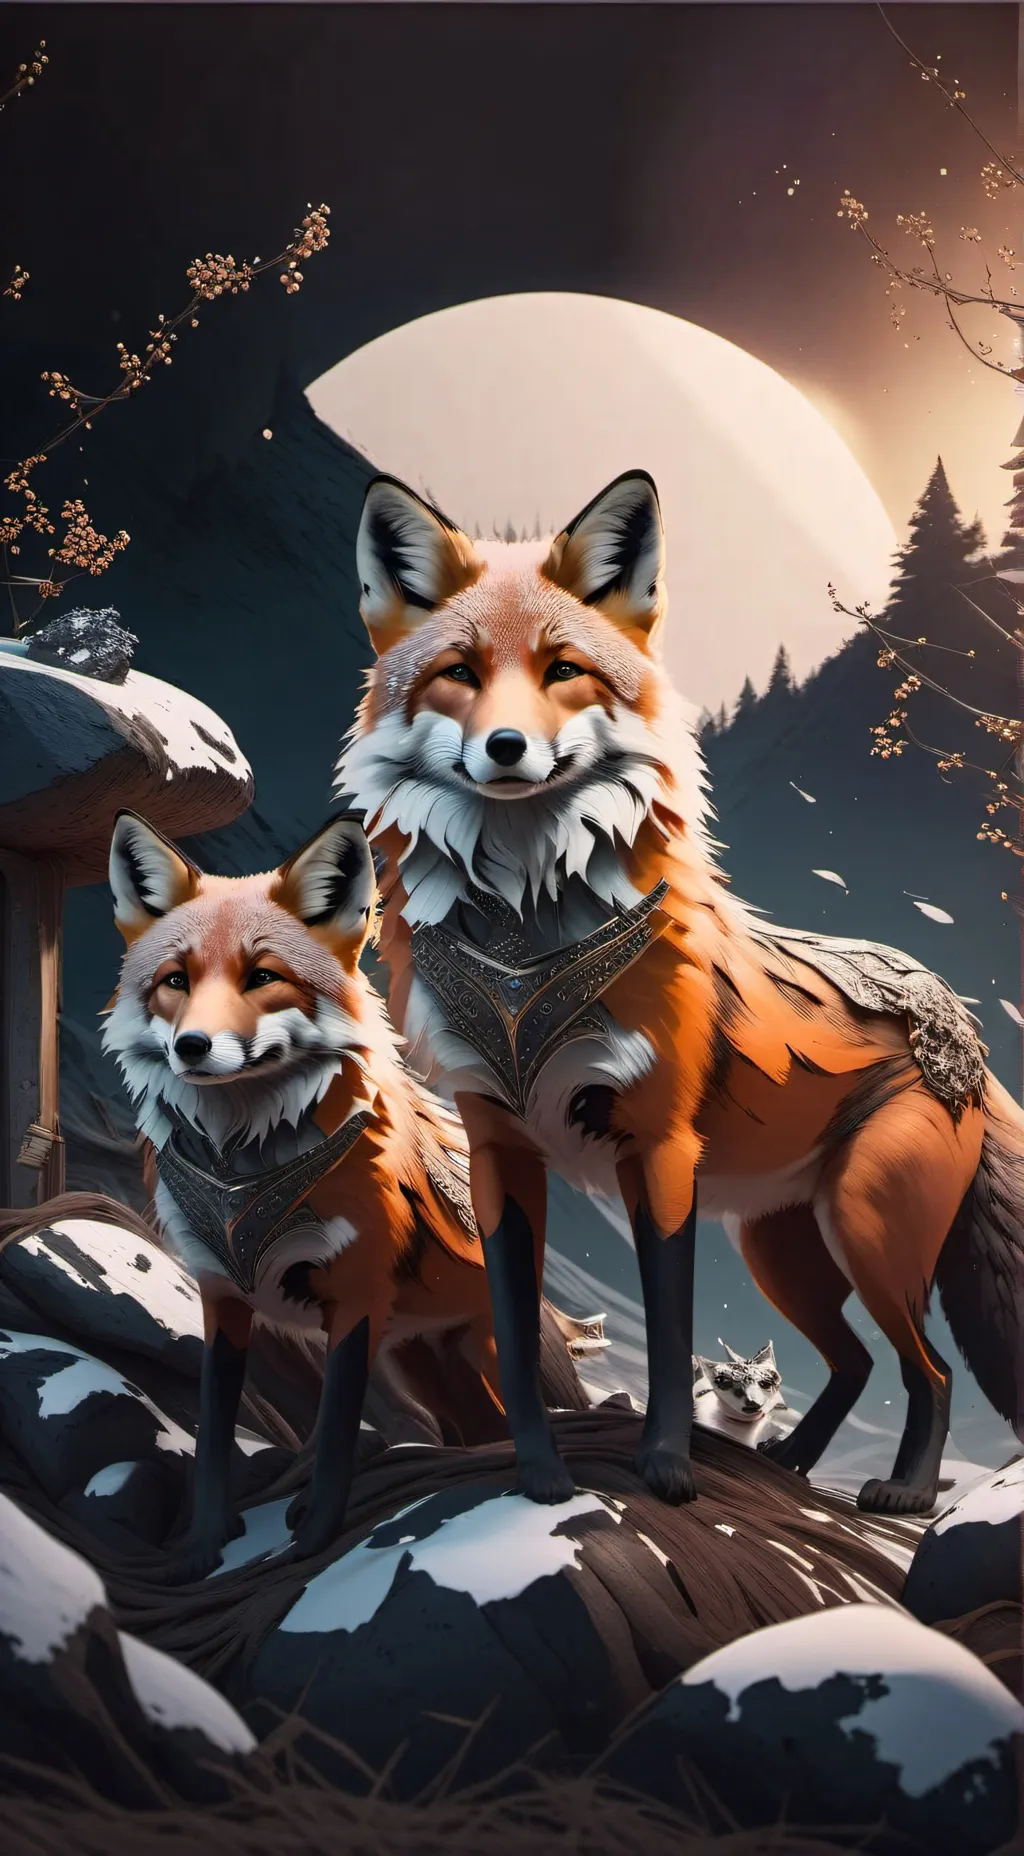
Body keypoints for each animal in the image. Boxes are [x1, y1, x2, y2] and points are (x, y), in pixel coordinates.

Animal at [102, 810, 595, 1579]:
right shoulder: (222, 1300)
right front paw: (202, 1545)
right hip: (417, 1367)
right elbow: (212, 1437)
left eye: (263, 978)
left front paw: (311, 1542)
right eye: (174, 981)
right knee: (458, 1429)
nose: (192, 1046)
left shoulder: (355, 1300)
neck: (243, 1171)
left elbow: (334, 1434)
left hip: (470, 1360)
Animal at [336, 466, 1024, 1519]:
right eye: (458, 670)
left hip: (865, 1228)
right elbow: (515, 1328)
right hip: (784, 1253)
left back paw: (903, 1492)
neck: (526, 955)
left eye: (563, 670)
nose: (506, 748)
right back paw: (790, 1465)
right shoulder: (498, 1149)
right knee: (857, 1362)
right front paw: (538, 1474)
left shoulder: (658, 1149)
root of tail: (963, 1029)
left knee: (931, 1370)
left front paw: (665, 1468)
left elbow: (667, 1335)